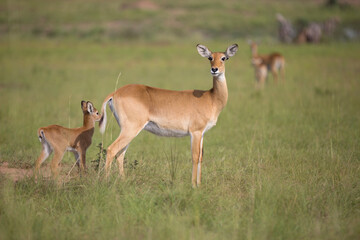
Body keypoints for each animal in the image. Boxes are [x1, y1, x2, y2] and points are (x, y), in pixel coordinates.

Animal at [99, 44, 239, 187]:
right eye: (210, 57)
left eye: (224, 58)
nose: (214, 69)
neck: (211, 98)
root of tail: (115, 93)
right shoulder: (195, 132)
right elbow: (194, 157)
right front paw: (193, 185)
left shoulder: (202, 133)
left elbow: (200, 157)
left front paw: (199, 185)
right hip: (130, 129)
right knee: (111, 150)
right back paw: (106, 181)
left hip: (128, 130)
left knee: (120, 154)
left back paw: (123, 181)